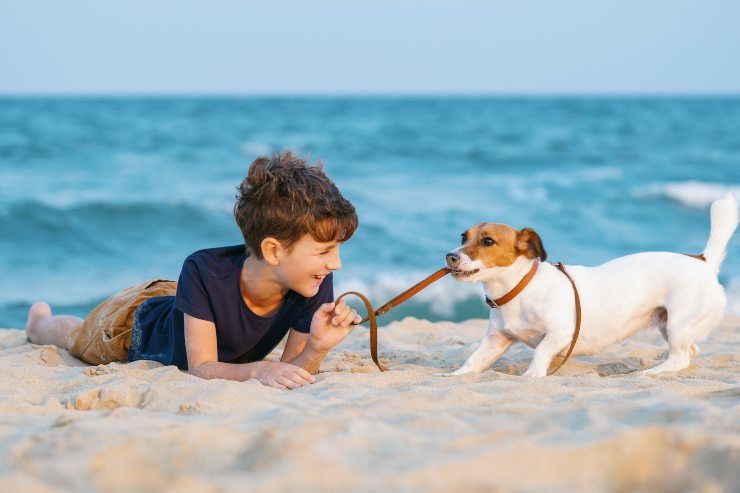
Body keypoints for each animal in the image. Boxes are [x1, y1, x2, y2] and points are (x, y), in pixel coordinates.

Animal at [442, 192, 736, 376]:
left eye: (488, 241)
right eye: (463, 236)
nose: (450, 256)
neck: (519, 289)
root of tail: (703, 261)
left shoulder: (561, 332)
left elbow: (541, 351)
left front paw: (532, 375)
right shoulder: (496, 341)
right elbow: (473, 361)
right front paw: (456, 376)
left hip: (678, 324)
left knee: (680, 358)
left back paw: (654, 371)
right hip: (670, 325)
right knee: (691, 352)